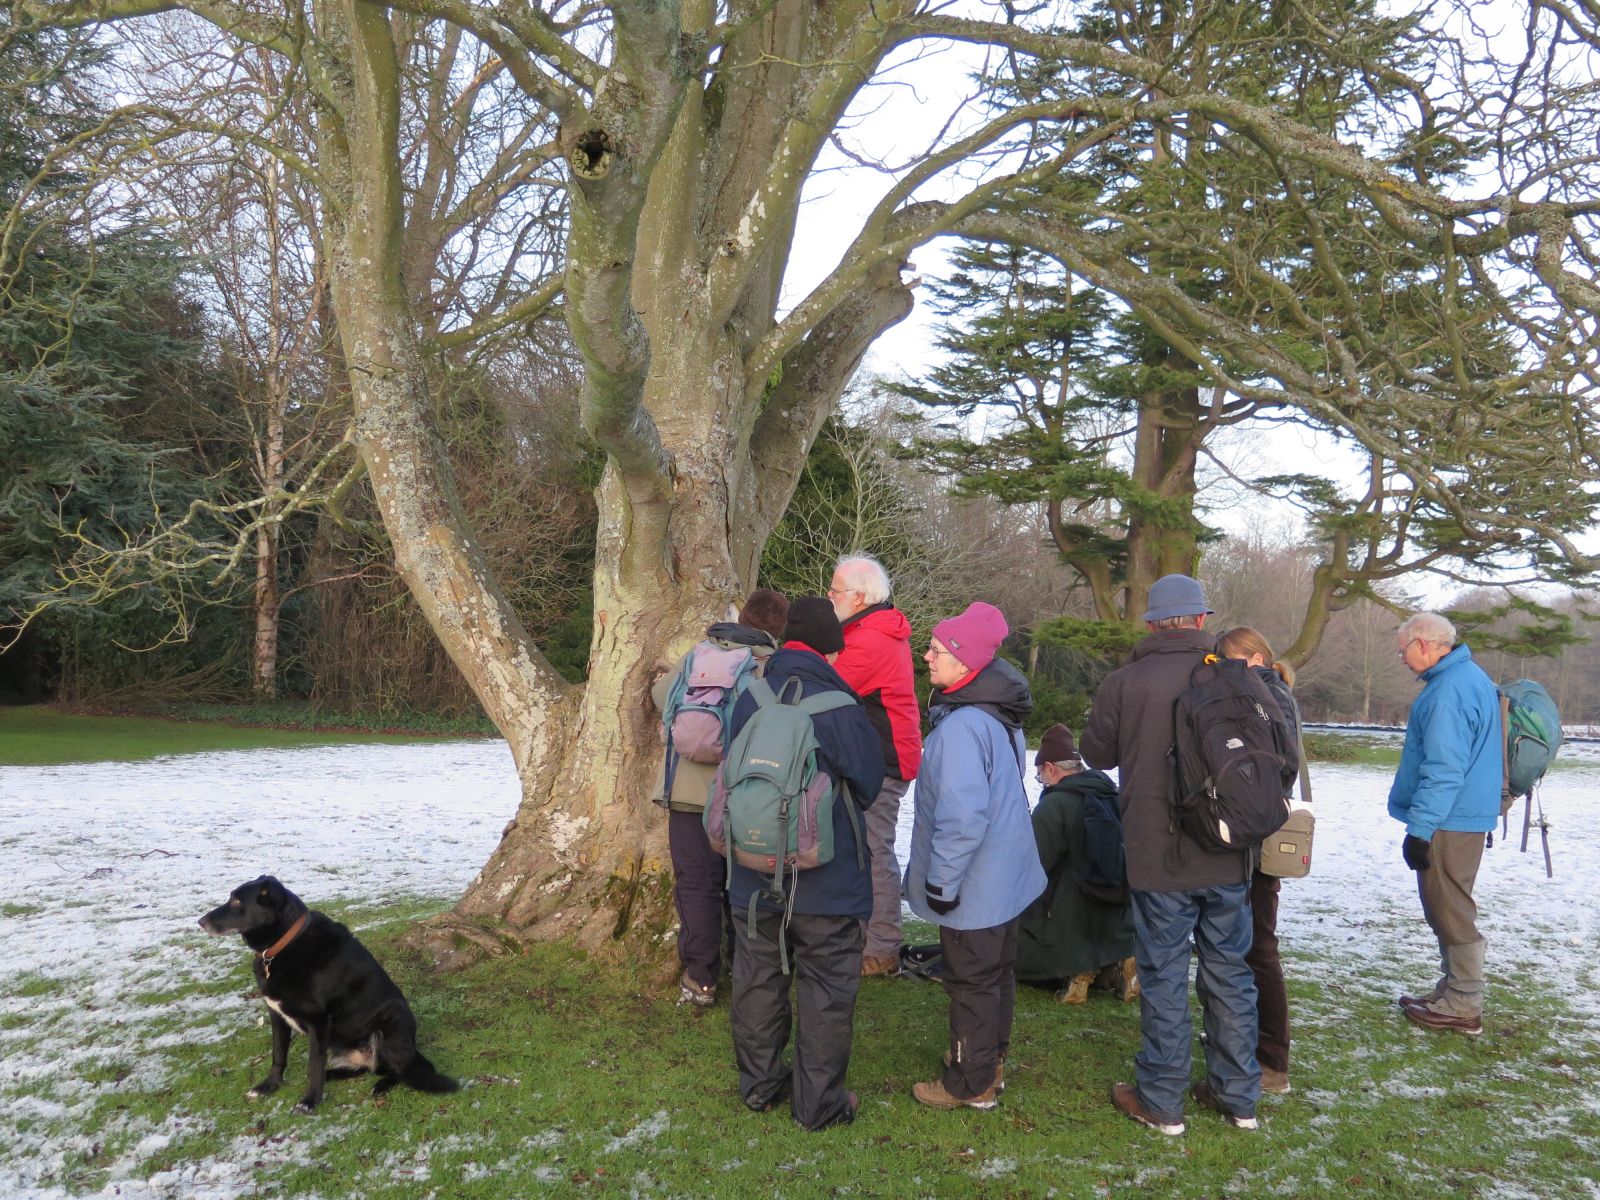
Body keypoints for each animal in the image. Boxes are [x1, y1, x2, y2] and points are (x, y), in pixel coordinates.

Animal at [201, 876, 457, 1113]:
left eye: (236, 901)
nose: (200, 922)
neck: (285, 944)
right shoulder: (276, 1015)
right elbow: (278, 1055)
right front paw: (268, 1086)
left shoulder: (319, 1021)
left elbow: (314, 1063)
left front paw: (309, 1101)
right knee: (367, 1068)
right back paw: (332, 1075)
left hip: (394, 1016)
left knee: (398, 1070)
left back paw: (380, 1084)